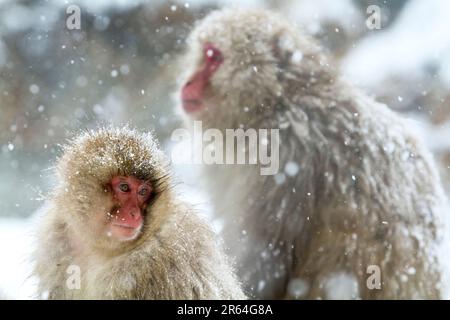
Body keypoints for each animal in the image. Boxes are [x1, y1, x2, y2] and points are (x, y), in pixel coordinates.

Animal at [33, 127, 246, 300]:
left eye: (143, 192)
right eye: (124, 187)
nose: (135, 214)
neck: (100, 250)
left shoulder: (169, 259)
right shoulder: (56, 243)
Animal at [178, 9, 450, 300]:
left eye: (214, 57)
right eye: (204, 53)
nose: (188, 82)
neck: (276, 103)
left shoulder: (283, 156)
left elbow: (263, 257)